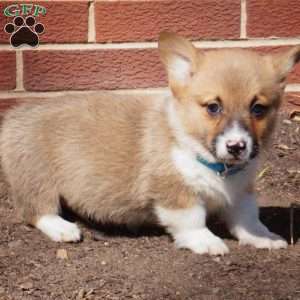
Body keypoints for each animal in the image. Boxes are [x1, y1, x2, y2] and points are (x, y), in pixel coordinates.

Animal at [1, 32, 298, 254]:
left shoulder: (241, 192)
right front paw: (207, 242)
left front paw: (264, 237)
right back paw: (63, 228)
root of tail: (15, 115)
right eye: (213, 107)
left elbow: (248, 217)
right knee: (36, 210)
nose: (237, 146)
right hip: (36, 175)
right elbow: (192, 220)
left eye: (258, 109)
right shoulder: (174, 192)